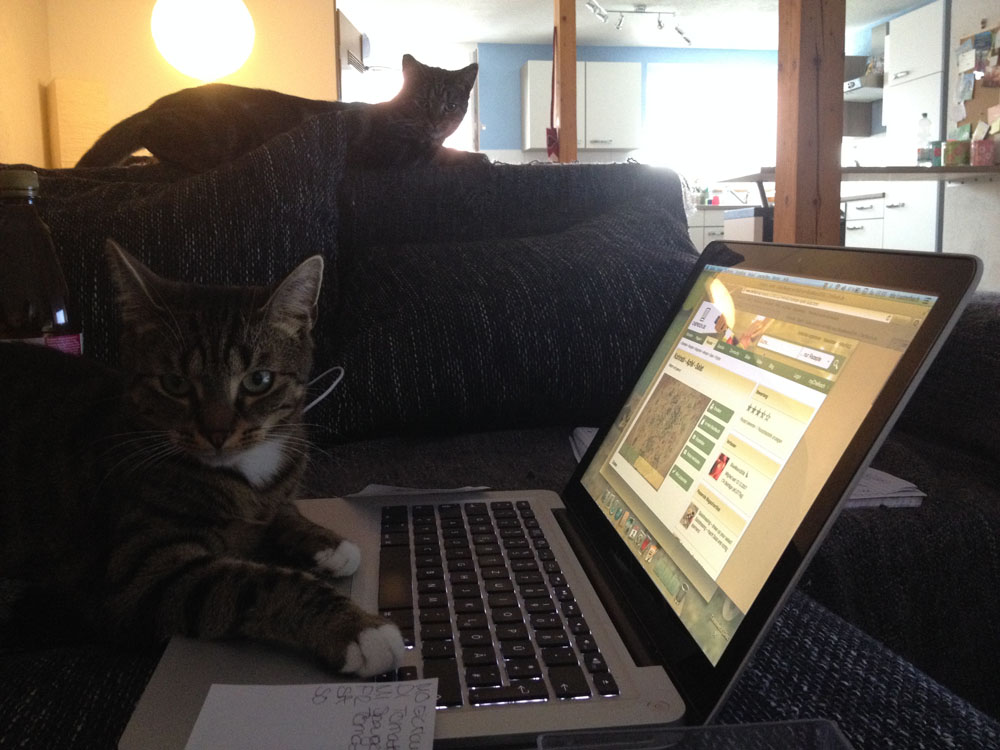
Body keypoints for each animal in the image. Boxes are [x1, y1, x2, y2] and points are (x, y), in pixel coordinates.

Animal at [0, 241, 404, 676]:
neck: (244, 472)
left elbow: (282, 513)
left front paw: (328, 544)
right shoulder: (143, 572)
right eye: (175, 383)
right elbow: (256, 584)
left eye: (258, 380)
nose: (217, 433)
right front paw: (357, 629)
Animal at [76, 53, 486, 171]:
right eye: (421, 101)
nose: (436, 119)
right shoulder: (390, 152)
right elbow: (439, 153)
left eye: (451, 104)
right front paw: (478, 157)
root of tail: (154, 105)